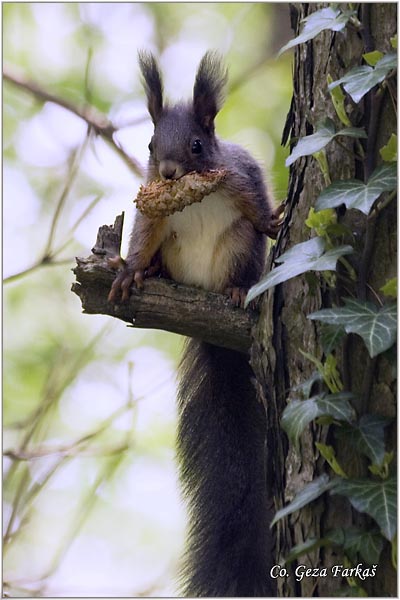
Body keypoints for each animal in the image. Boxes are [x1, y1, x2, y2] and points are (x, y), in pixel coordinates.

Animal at [108, 50, 282, 596]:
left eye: (197, 145)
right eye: (149, 145)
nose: (166, 172)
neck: (194, 195)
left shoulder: (242, 178)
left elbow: (258, 206)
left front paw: (273, 221)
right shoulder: (152, 216)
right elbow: (142, 236)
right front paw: (132, 271)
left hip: (237, 250)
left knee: (240, 259)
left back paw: (235, 291)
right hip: (177, 253)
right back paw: (156, 274)